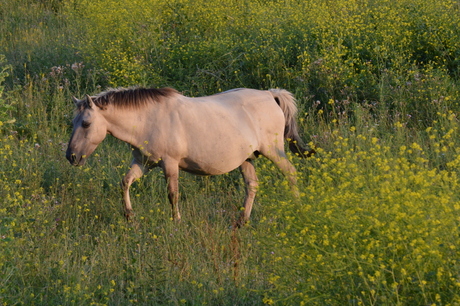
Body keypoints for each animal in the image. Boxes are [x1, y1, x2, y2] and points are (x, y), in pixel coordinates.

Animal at [66, 87, 314, 226]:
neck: (148, 119)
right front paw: (129, 216)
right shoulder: (143, 163)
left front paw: (176, 222)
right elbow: (125, 182)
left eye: (86, 123)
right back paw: (242, 221)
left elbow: (172, 195)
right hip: (247, 159)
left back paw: (298, 209)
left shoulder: (170, 164)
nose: (71, 157)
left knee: (291, 174)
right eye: (73, 122)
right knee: (252, 186)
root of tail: (270, 95)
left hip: (273, 151)